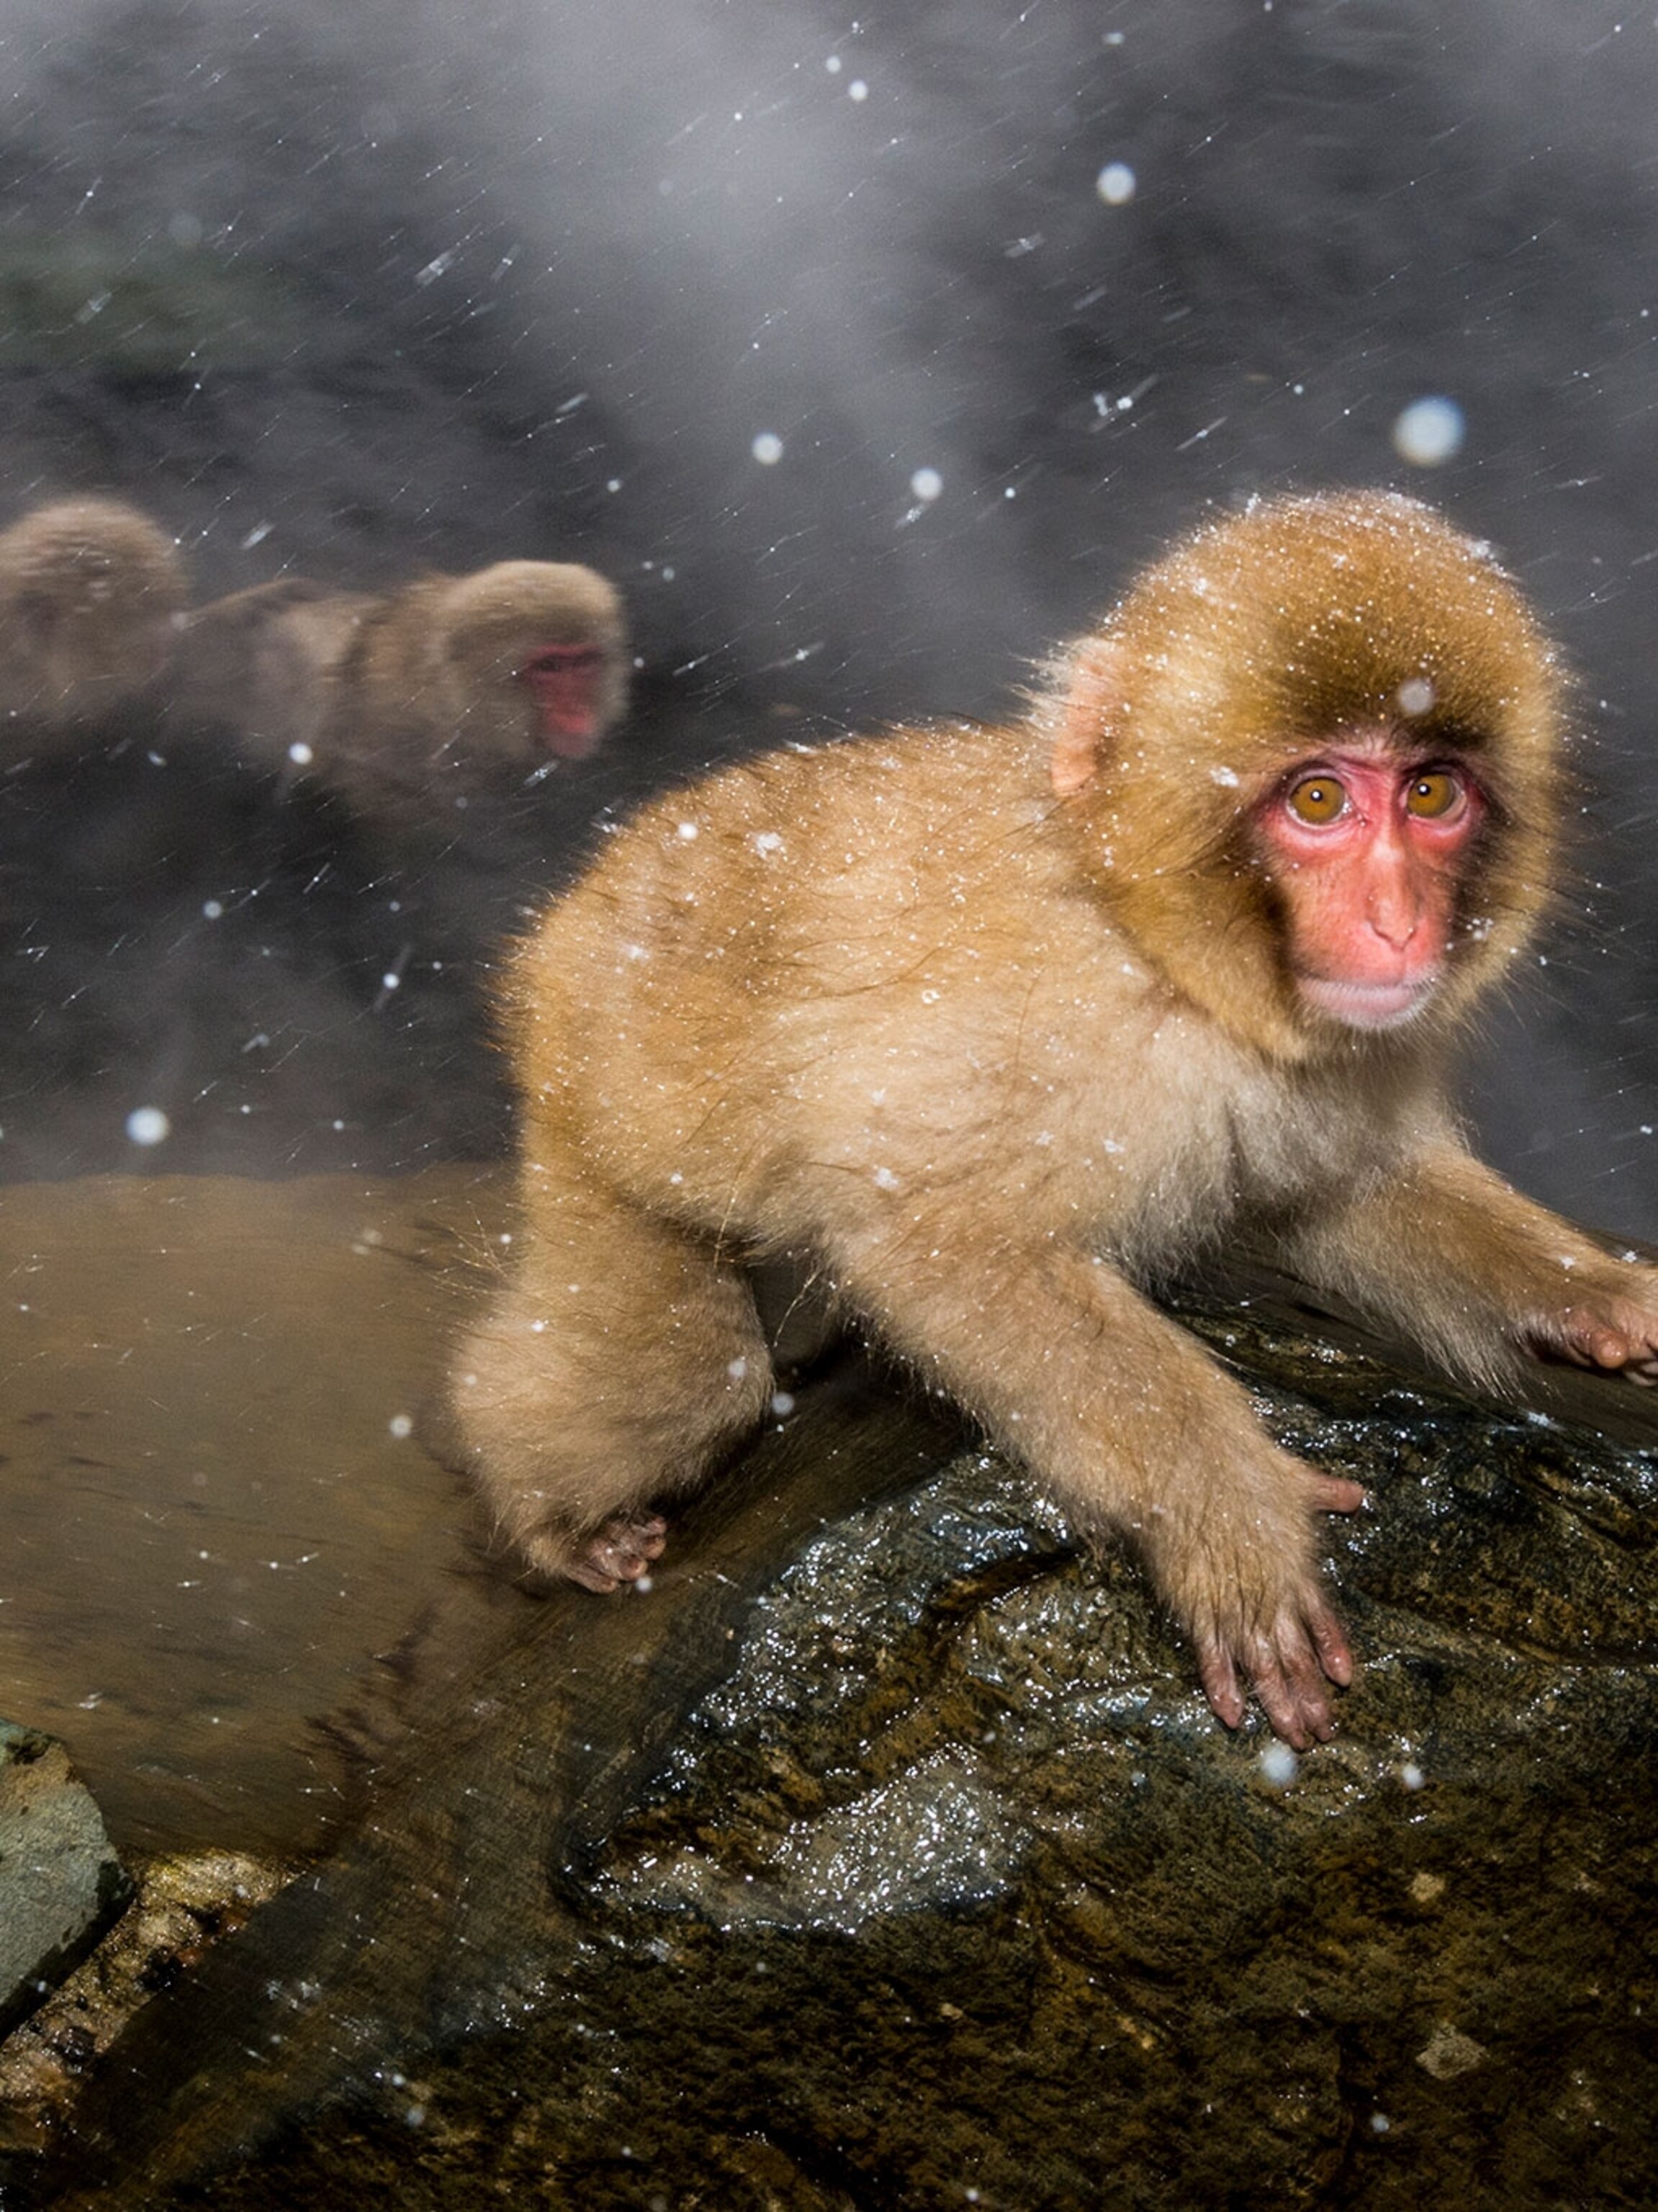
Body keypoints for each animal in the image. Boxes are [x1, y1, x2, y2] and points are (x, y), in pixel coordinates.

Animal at [447, 488, 1658, 1748]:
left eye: (1430, 792)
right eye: (1317, 800)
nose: (1393, 922)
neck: (1150, 941)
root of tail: (571, 912)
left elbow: (1345, 1193)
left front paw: (1593, 1295)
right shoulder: (1047, 1035)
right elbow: (946, 1244)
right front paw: (1226, 1516)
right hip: (587, 1086)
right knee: (690, 1377)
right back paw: (558, 1524)